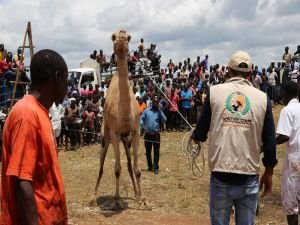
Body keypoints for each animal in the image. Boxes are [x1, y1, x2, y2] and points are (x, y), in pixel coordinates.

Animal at [94, 29, 145, 209]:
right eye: (112, 36)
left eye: (129, 36)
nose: (122, 35)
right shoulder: (115, 133)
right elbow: (116, 169)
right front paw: (116, 200)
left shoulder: (135, 131)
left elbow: (137, 169)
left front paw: (142, 199)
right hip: (105, 135)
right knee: (101, 165)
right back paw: (92, 197)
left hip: (125, 138)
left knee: (129, 164)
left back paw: (135, 194)